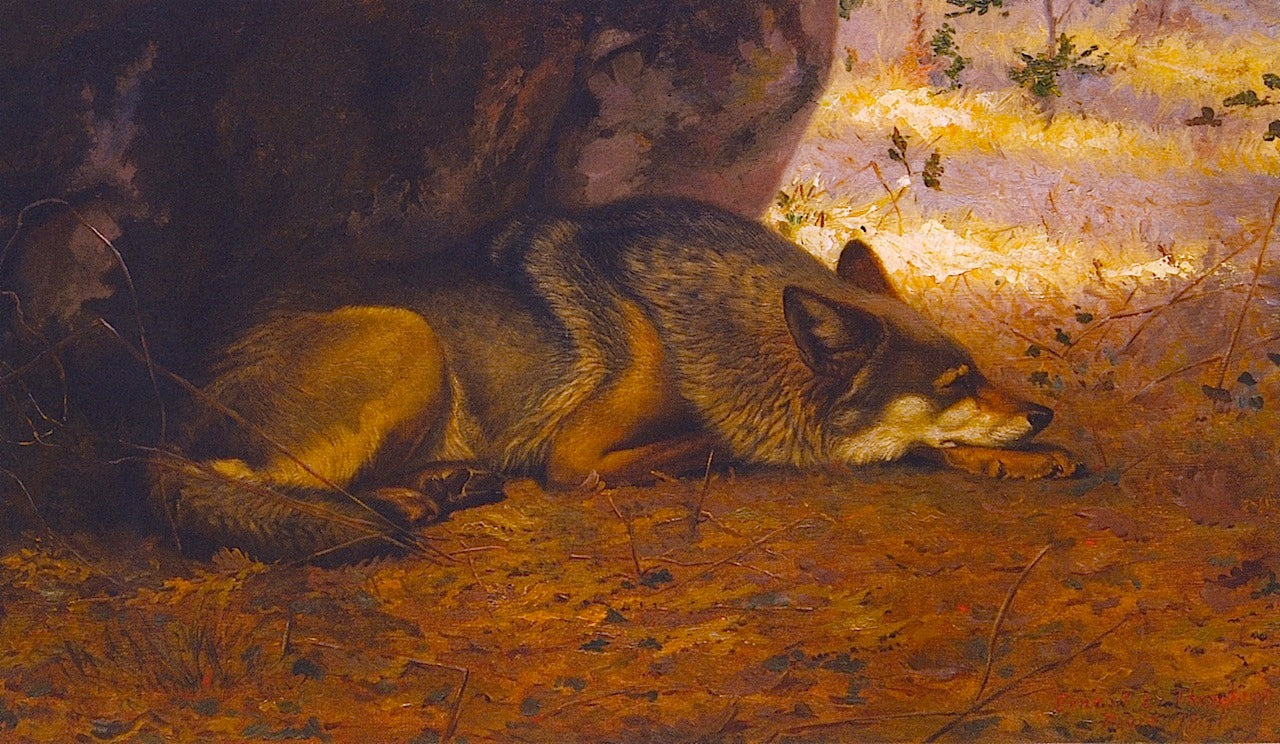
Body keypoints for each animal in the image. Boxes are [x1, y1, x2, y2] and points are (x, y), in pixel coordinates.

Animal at [151, 198, 1078, 561]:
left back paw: (440, 487)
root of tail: (161, 421)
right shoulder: (576, 459)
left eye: (977, 371)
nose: (1042, 413)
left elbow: (925, 448)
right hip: (407, 334)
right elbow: (718, 444)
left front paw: (1022, 458)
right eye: (953, 380)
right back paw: (412, 502)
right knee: (255, 481)